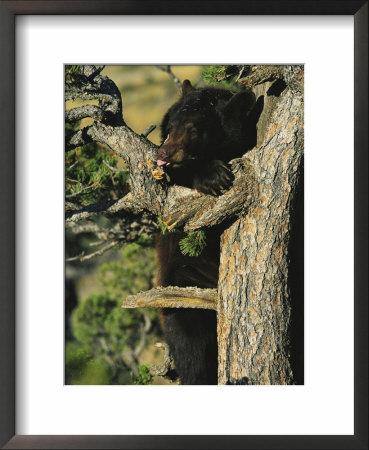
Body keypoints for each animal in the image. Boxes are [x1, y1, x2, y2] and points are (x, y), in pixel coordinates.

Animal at [157, 80, 258, 384]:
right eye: (170, 126)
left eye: (193, 129)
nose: (162, 154)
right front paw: (213, 175)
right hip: (184, 293)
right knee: (194, 353)